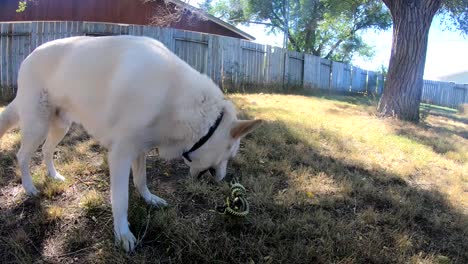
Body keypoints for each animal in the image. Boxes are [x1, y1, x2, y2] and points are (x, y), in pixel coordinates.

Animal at [0, 35, 262, 252]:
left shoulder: (140, 149)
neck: (173, 98)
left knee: (46, 150)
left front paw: (150, 199)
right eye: (230, 156)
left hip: (60, 126)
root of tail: (30, 55)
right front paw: (123, 234)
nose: (223, 179)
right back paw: (30, 188)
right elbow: (121, 200)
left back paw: (54, 176)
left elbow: (141, 180)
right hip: (37, 126)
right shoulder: (120, 155)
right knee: (22, 156)